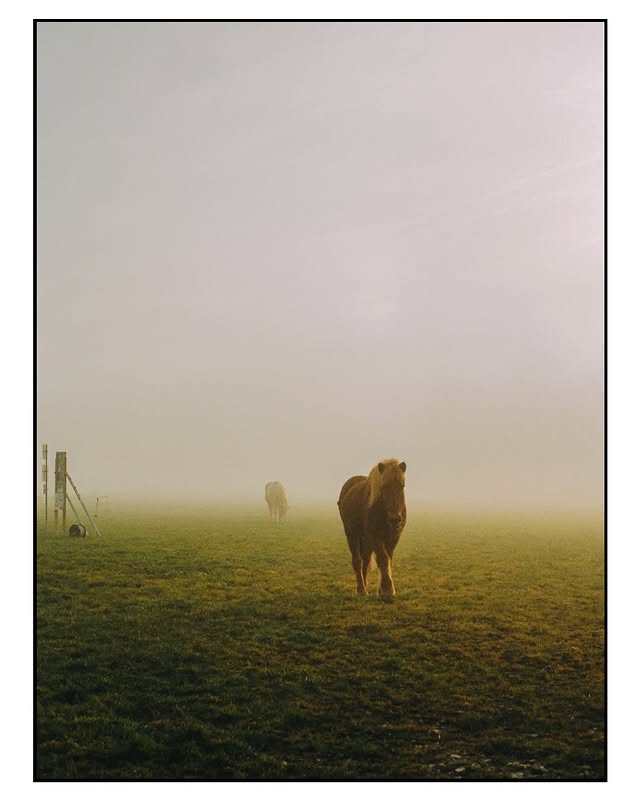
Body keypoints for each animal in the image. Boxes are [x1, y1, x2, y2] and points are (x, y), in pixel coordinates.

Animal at [337, 459, 407, 602]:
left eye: (402, 486)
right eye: (384, 487)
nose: (395, 519)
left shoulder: (393, 538)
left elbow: (388, 560)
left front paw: (382, 590)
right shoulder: (375, 537)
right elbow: (383, 559)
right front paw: (387, 591)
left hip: (366, 541)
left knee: (365, 560)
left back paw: (365, 585)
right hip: (351, 534)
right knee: (357, 560)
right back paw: (361, 590)